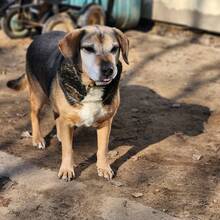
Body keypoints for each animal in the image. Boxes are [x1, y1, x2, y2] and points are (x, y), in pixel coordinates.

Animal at [7, 25, 129, 180]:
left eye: (114, 48)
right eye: (89, 49)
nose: (108, 70)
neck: (90, 86)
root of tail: (39, 36)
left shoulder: (105, 122)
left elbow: (102, 149)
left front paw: (104, 168)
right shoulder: (67, 121)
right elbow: (68, 149)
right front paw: (66, 170)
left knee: (56, 115)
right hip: (38, 95)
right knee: (34, 115)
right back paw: (38, 139)